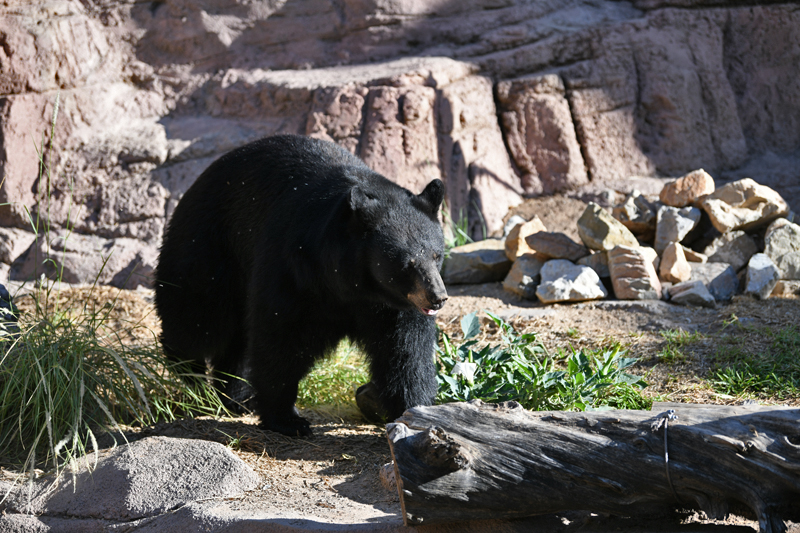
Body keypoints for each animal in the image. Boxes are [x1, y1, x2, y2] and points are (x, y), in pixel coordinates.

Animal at [155, 134, 448, 436]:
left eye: (436, 255)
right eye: (407, 263)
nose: (438, 297)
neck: (355, 284)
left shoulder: (393, 305)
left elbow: (405, 352)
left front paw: (412, 412)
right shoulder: (296, 270)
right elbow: (282, 338)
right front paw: (287, 419)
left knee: (235, 339)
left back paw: (237, 397)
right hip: (210, 246)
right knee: (198, 319)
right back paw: (191, 377)